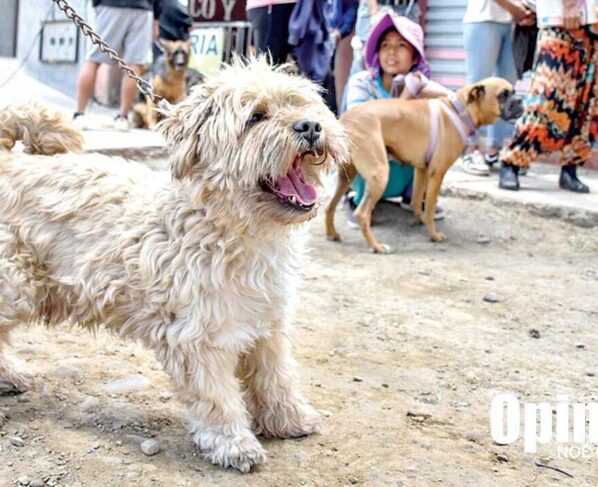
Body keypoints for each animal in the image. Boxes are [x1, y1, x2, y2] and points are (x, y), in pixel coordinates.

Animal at [0, 57, 347, 472]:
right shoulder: (198, 337)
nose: (310, 126)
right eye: (255, 117)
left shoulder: (268, 323)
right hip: (14, 286)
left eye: (299, 104)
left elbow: (275, 376)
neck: (230, 228)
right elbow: (217, 397)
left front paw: (288, 419)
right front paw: (233, 443)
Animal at [325, 77, 523, 253]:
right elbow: (429, 208)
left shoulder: (421, 170)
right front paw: (434, 235)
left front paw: (417, 221)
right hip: (379, 174)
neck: (459, 109)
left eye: (514, 92)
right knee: (361, 214)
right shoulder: (437, 173)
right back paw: (376, 246)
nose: (521, 100)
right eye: (503, 95)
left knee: (330, 206)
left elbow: (416, 200)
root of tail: (345, 121)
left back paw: (332, 234)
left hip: (346, 176)